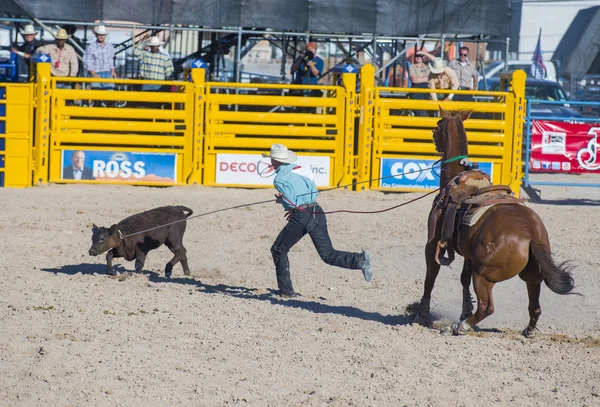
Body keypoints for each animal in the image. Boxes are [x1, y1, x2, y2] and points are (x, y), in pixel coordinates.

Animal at [412, 107, 576, 336]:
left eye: (437, 125)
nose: (433, 138)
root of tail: (530, 236)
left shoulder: (433, 243)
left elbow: (431, 276)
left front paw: (421, 314)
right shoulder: (469, 255)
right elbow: (463, 278)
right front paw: (464, 309)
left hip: (484, 276)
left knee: (486, 306)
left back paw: (458, 326)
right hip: (531, 276)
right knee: (535, 306)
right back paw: (528, 330)